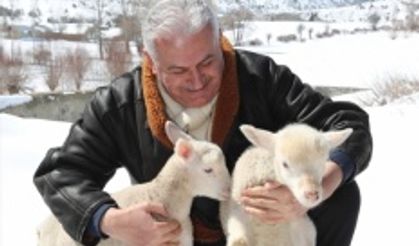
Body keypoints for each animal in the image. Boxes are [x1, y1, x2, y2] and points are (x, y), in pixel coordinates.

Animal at [221, 123, 352, 246]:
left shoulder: (305, 231)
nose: (312, 194)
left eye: (323, 162)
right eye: (285, 164)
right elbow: (239, 241)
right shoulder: (238, 217)